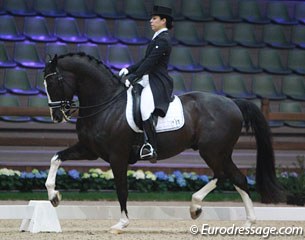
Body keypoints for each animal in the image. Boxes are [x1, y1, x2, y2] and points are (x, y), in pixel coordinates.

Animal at [44, 52, 284, 232]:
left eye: (53, 81)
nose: (56, 116)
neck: (106, 103)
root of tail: (233, 103)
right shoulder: (90, 150)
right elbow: (56, 158)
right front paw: (54, 196)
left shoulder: (117, 156)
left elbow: (122, 188)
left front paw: (122, 223)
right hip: (221, 152)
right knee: (238, 178)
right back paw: (248, 223)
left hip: (212, 151)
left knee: (224, 175)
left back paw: (195, 207)